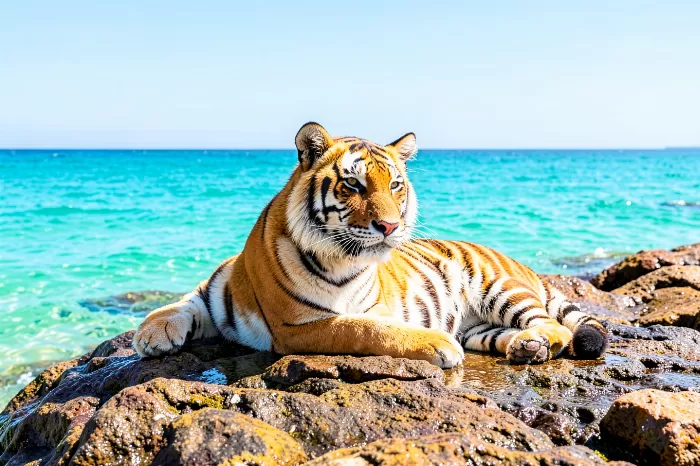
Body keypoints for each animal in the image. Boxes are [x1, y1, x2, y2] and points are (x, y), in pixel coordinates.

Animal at [133, 122, 608, 368]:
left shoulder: (305, 326)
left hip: (498, 287)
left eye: (396, 185)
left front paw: (434, 344)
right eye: (354, 184)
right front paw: (151, 335)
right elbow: (179, 303)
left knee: (558, 327)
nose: (390, 226)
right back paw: (524, 346)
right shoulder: (230, 295)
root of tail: (521, 265)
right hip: (480, 327)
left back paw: (536, 342)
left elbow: (368, 328)